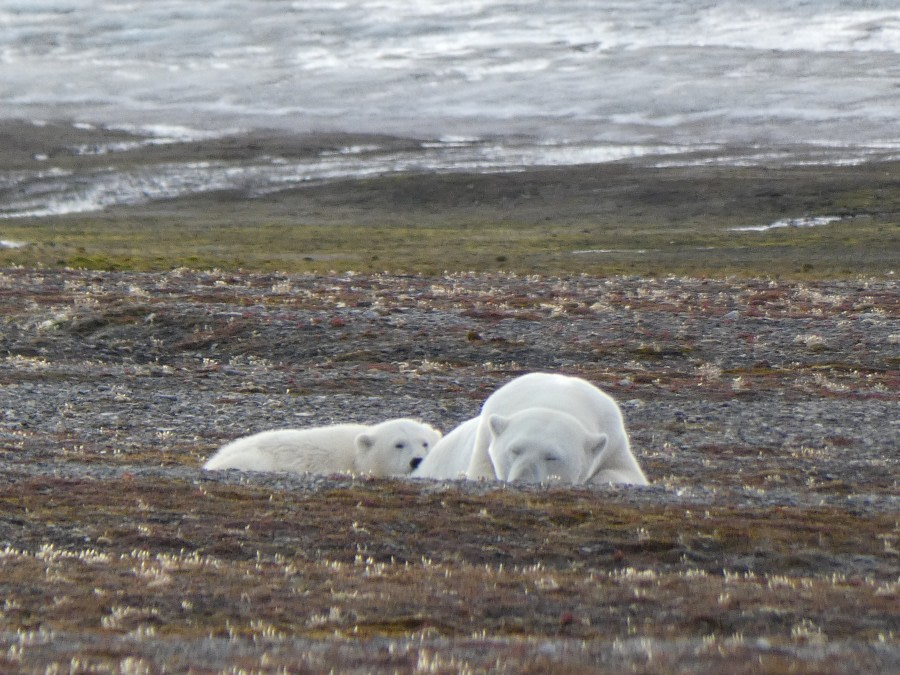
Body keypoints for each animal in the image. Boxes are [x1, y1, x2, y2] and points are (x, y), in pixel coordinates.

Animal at [414, 374, 648, 486]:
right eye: (514, 450)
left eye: (552, 457)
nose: (523, 478)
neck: (555, 400)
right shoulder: (485, 440)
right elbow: (481, 471)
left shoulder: (613, 437)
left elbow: (624, 473)